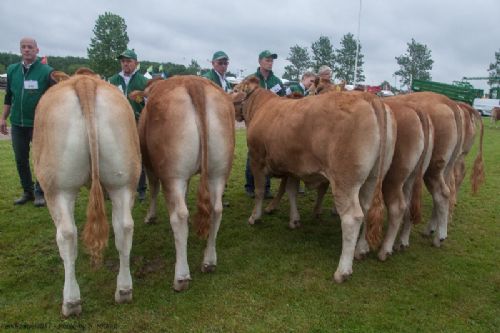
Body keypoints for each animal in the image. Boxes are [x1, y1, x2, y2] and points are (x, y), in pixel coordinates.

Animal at [137, 75, 236, 290]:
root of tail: (193, 82)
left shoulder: (150, 166)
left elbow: (153, 189)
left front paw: (150, 216)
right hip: (218, 171)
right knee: (216, 210)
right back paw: (209, 262)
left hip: (173, 174)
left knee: (179, 215)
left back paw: (181, 276)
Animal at [232, 76, 396, 282]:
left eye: (235, 89)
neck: (261, 107)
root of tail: (369, 97)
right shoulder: (292, 167)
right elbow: (291, 191)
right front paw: (294, 220)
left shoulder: (256, 159)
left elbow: (260, 191)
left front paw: (255, 217)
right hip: (373, 178)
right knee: (367, 210)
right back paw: (361, 249)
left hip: (344, 181)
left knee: (352, 217)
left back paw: (343, 270)